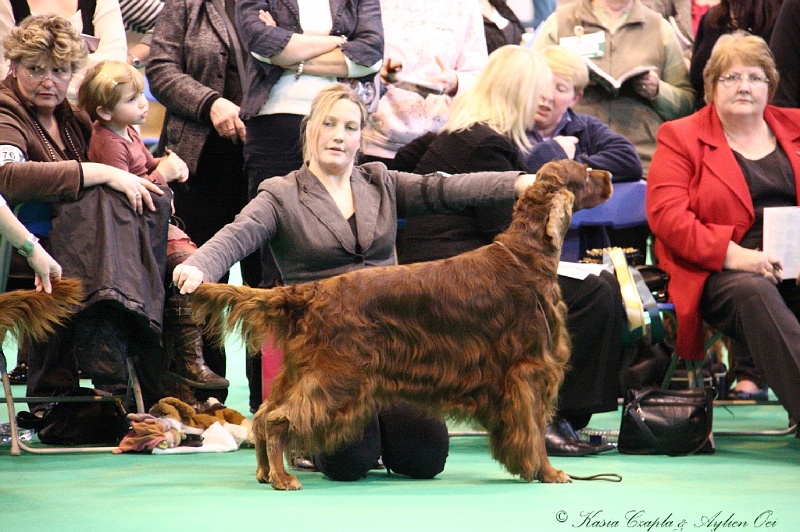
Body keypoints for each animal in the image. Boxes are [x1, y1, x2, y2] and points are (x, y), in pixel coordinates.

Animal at [189, 161, 612, 490]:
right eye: (585, 172)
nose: (609, 176)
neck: (526, 255)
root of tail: (310, 292)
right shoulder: (529, 371)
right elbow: (535, 430)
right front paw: (548, 472)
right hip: (337, 375)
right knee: (279, 419)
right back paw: (282, 477)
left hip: (302, 371)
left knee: (263, 416)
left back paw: (265, 471)